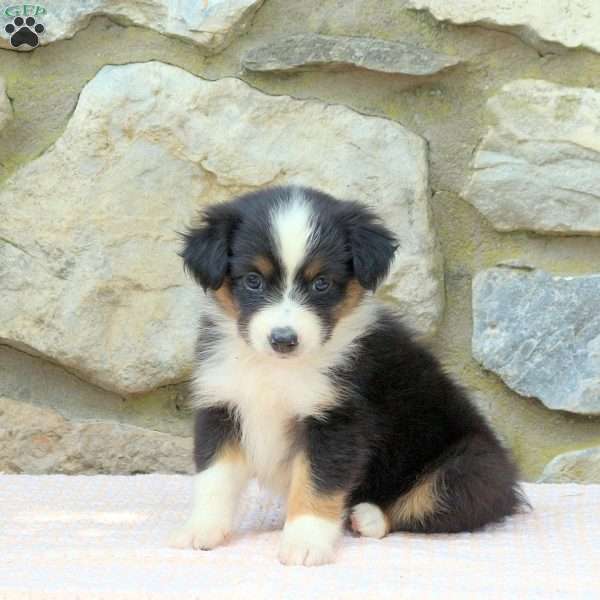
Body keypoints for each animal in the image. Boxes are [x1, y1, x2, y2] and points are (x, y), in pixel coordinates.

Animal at [169, 185, 524, 564]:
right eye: (253, 280)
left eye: (321, 284)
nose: (283, 340)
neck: (278, 369)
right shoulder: (222, 405)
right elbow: (214, 478)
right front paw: (201, 529)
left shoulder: (337, 420)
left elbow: (318, 483)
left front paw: (305, 542)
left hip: (473, 467)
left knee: (430, 504)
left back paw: (367, 517)